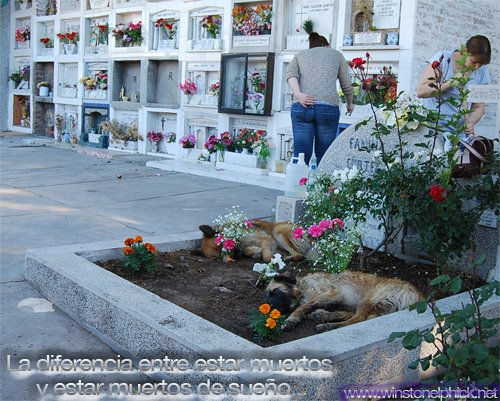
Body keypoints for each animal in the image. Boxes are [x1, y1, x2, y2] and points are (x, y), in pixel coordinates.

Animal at [264, 270, 424, 332]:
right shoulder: (339, 301)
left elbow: (302, 307)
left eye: (274, 292)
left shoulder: (333, 293)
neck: (302, 289)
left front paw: (291, 319)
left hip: (370, 298)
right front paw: (322, 313)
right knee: (356, 318)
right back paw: (323, 317)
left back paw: (327, 326)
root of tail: (419, 295)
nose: (270, 308)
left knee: (357, 320)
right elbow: (343, 312)